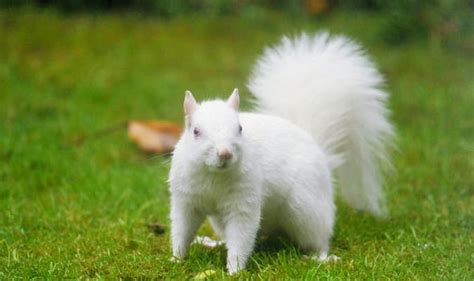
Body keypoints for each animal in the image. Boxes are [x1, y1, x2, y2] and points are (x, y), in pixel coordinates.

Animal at [168, 31, 394, 272]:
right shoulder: (185, 201)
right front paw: (176, 259)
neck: (213, 175)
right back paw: (214, 242)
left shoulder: (244, 202)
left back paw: (320, 258)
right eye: (195, 131)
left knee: (319, 240)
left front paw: (234, 270)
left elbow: (241, 236)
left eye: (239, 128)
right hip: (223, 220)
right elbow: (182, 230)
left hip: (305, 208)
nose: (225, 153)